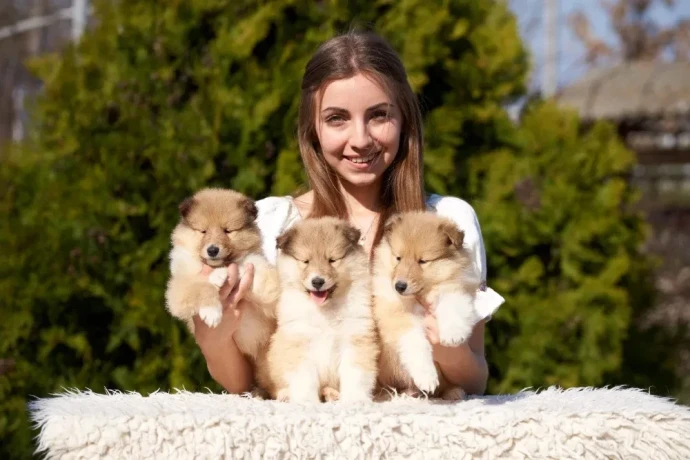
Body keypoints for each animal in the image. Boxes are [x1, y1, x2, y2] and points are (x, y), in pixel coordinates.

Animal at [163, 187, 278, 380]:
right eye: (203, 231)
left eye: (227, 231)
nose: (212, 250)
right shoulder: (178, 290)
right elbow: (201, 285)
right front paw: (212, 311)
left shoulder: (266, 282)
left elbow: (245, 267)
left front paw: (223, 274)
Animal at [266, 217, 378, 404]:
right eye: (305, 261)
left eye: (332, 260)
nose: (317, 281)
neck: (325, 310)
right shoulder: (300, 340)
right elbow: (304, 377)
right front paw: (306, 401)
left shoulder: (355, 338)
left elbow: (355, 373)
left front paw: (355, 399)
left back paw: (332, 393)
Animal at [370, 211, 478, 398]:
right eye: (398, 258)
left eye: (422, 261)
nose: (399, 286)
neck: (420, 294)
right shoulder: (396, 316)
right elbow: (416, 343)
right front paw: (427, 378)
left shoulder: (456, 288)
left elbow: (453, 306)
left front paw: (453, 335)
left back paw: (454, 392)